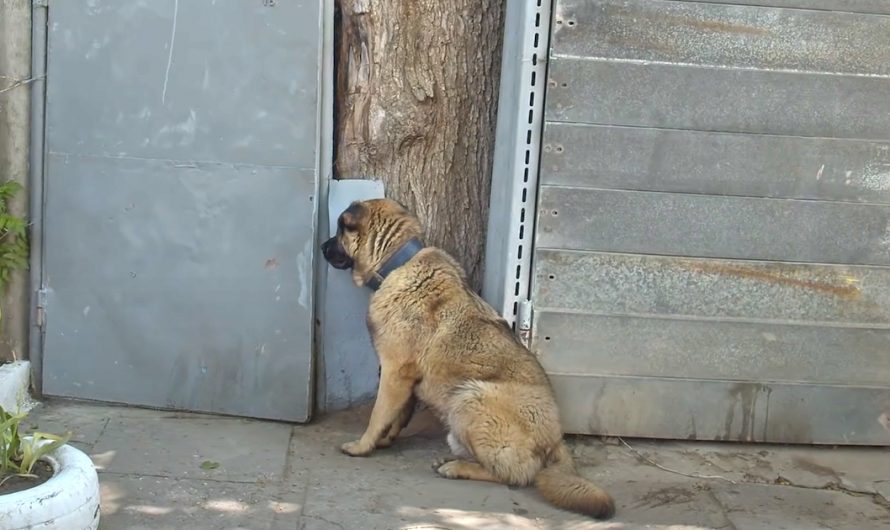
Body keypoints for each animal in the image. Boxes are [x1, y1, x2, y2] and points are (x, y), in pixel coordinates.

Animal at [320, 197, 616, 516]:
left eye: (339, 229)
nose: (322, 247)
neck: (397, 262)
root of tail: (557, 439)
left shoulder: (393, 372)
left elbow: (378, 414)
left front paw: (362, 446)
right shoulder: (404, 378)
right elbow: (399, 415)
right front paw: (385, 439)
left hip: (469, 397)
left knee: (515, 475)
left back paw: (458, 468)